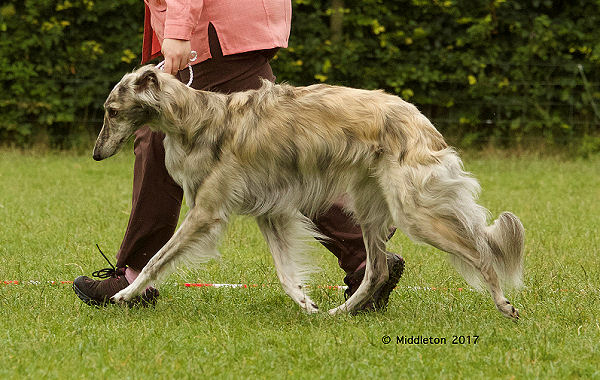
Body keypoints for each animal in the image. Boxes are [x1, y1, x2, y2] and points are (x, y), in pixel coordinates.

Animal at [91, 65, 524, 318]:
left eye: (111, 110)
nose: (96, 154)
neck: (197, 119)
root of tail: (421, 120)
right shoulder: (269, 212)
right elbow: (286, 274)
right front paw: (307, 303)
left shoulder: (205, 212)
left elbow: (154, 259)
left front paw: (124, 294)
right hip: (368, 207)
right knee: (378, 268)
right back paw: (340, 313)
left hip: (414, 212)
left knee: (481, 253)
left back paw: (504, 304)